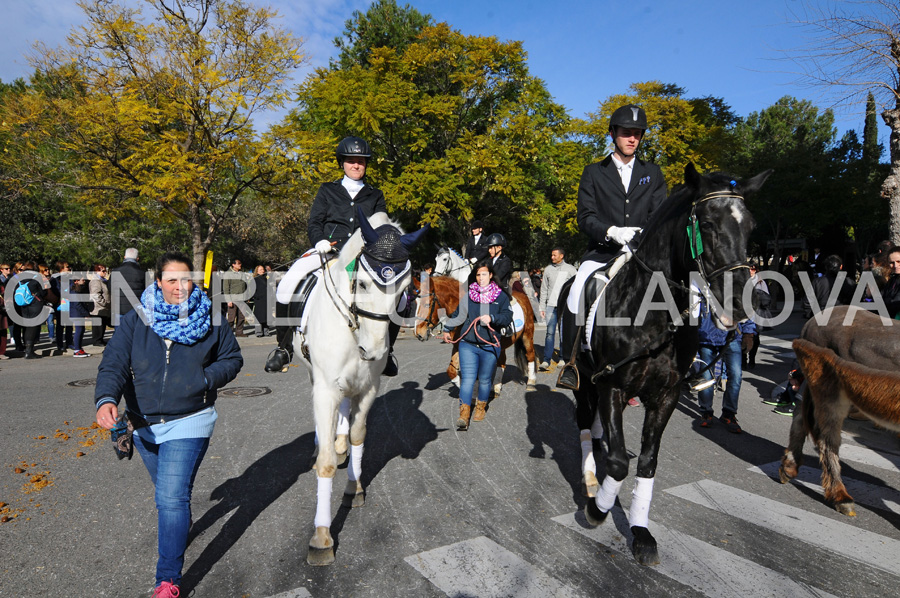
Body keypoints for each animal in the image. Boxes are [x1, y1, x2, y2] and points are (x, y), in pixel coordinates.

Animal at [298, 212, 428, 568]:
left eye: (405, 290)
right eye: (365, 284)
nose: (374, 351)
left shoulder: (370, 387)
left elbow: (359, 436)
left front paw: (353, 487)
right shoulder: (326, 389)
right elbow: (326, 462)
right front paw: (322, 536)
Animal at [564, 163, 768, 568]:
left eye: (751, 226)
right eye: (707, 223)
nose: (742, 302)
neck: (654, 313)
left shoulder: (665, 396)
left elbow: (646, 462)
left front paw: (640, 532)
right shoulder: (612, 385)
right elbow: (619, 463)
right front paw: (597, 509)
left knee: (598, 429)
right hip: (583, 381)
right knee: (583, 425)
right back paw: (590, 479)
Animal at [776, 308, 900, 516]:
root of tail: (813, 320)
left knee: (800, 418)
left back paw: (790, 467)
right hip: (831, 394)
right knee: (826, 440)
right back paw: (840, 496)